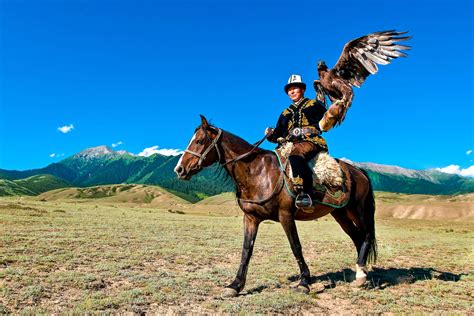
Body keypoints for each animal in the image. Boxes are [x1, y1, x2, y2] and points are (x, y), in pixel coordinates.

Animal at [172, 115, 376, 296]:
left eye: (199, 141)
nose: (179, 169)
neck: (257, 172)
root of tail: (358, 171)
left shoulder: (286, 216)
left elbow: (296, 246)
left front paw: (304, 282)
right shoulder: (251, 218)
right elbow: (246, 250)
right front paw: (235, 285)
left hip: (357, 210)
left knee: (365, 235)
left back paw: (361, 276)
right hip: (340, 214)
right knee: (357, 237)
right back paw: (360, 272)